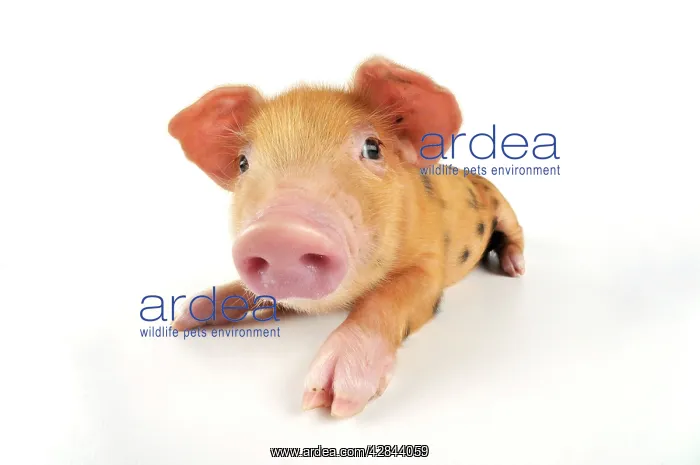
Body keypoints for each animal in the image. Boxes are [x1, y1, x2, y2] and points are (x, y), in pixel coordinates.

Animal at [167, 57, 525, 418]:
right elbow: (243, 289)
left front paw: (329, 399)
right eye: (243, 163)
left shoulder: (429, 266)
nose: (280, 232)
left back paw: (514, 268)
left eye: (372, 148)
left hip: (504, 206)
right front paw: (185, 315)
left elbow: (385, 299)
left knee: (513, 235)